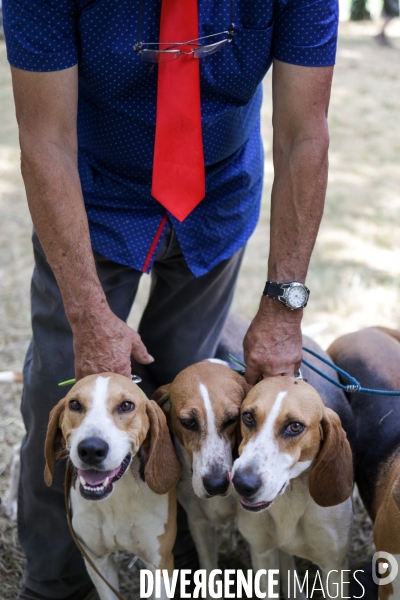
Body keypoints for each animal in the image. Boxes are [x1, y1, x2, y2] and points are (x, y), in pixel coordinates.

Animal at [44, 372, 180, 596]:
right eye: (74, 404)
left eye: (126, 406)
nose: (91, 449)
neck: (117, 498)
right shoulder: (97, 562)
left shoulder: (159, 565)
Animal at [230, 338, 354, 600]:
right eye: (248, 417)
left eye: (295, 427)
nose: (242, 484)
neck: (290, 499)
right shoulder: (262, 554)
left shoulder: (334, 567)